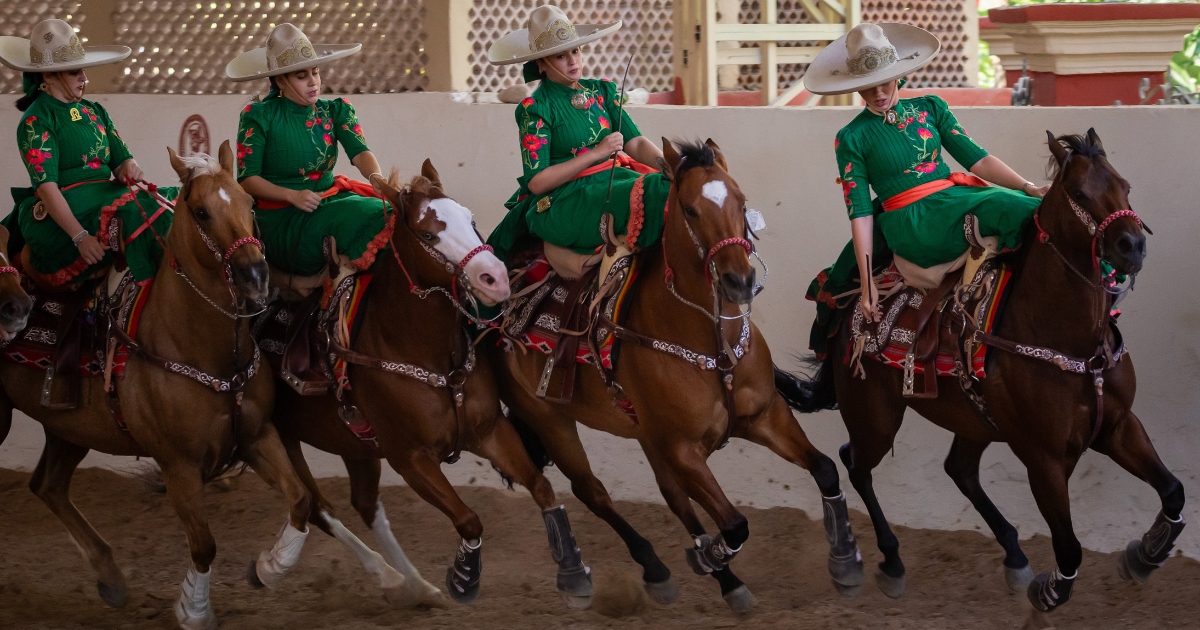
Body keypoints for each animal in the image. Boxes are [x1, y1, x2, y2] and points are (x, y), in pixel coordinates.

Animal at [487, 139, 864, 612]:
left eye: (741, 201)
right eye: (689, 210)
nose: (740, 281)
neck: (711, 345)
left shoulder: (765, 416)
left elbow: (825, 469)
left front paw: (846, 559)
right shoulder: (684, 448)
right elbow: (735, 524)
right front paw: (710, 556)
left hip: (646, 433)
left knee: (672, 497)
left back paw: (723, 581)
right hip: (547, 418)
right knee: (592, 491)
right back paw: (647, 569)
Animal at [777, 129, 1180, 614]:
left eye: (1126, 186)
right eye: (1080, 193)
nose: (1132, 246)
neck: (1072, 343)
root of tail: (854, 303)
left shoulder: (1119, 427)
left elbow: (1172, 491)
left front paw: (1146, 554)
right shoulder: (1044, 458)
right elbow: (1068, 548)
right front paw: (1049, 591)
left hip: (973, 419)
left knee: (959, 470)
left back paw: (1014, 555)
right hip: (875, 418)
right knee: (855, 464)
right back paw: (881, 562)